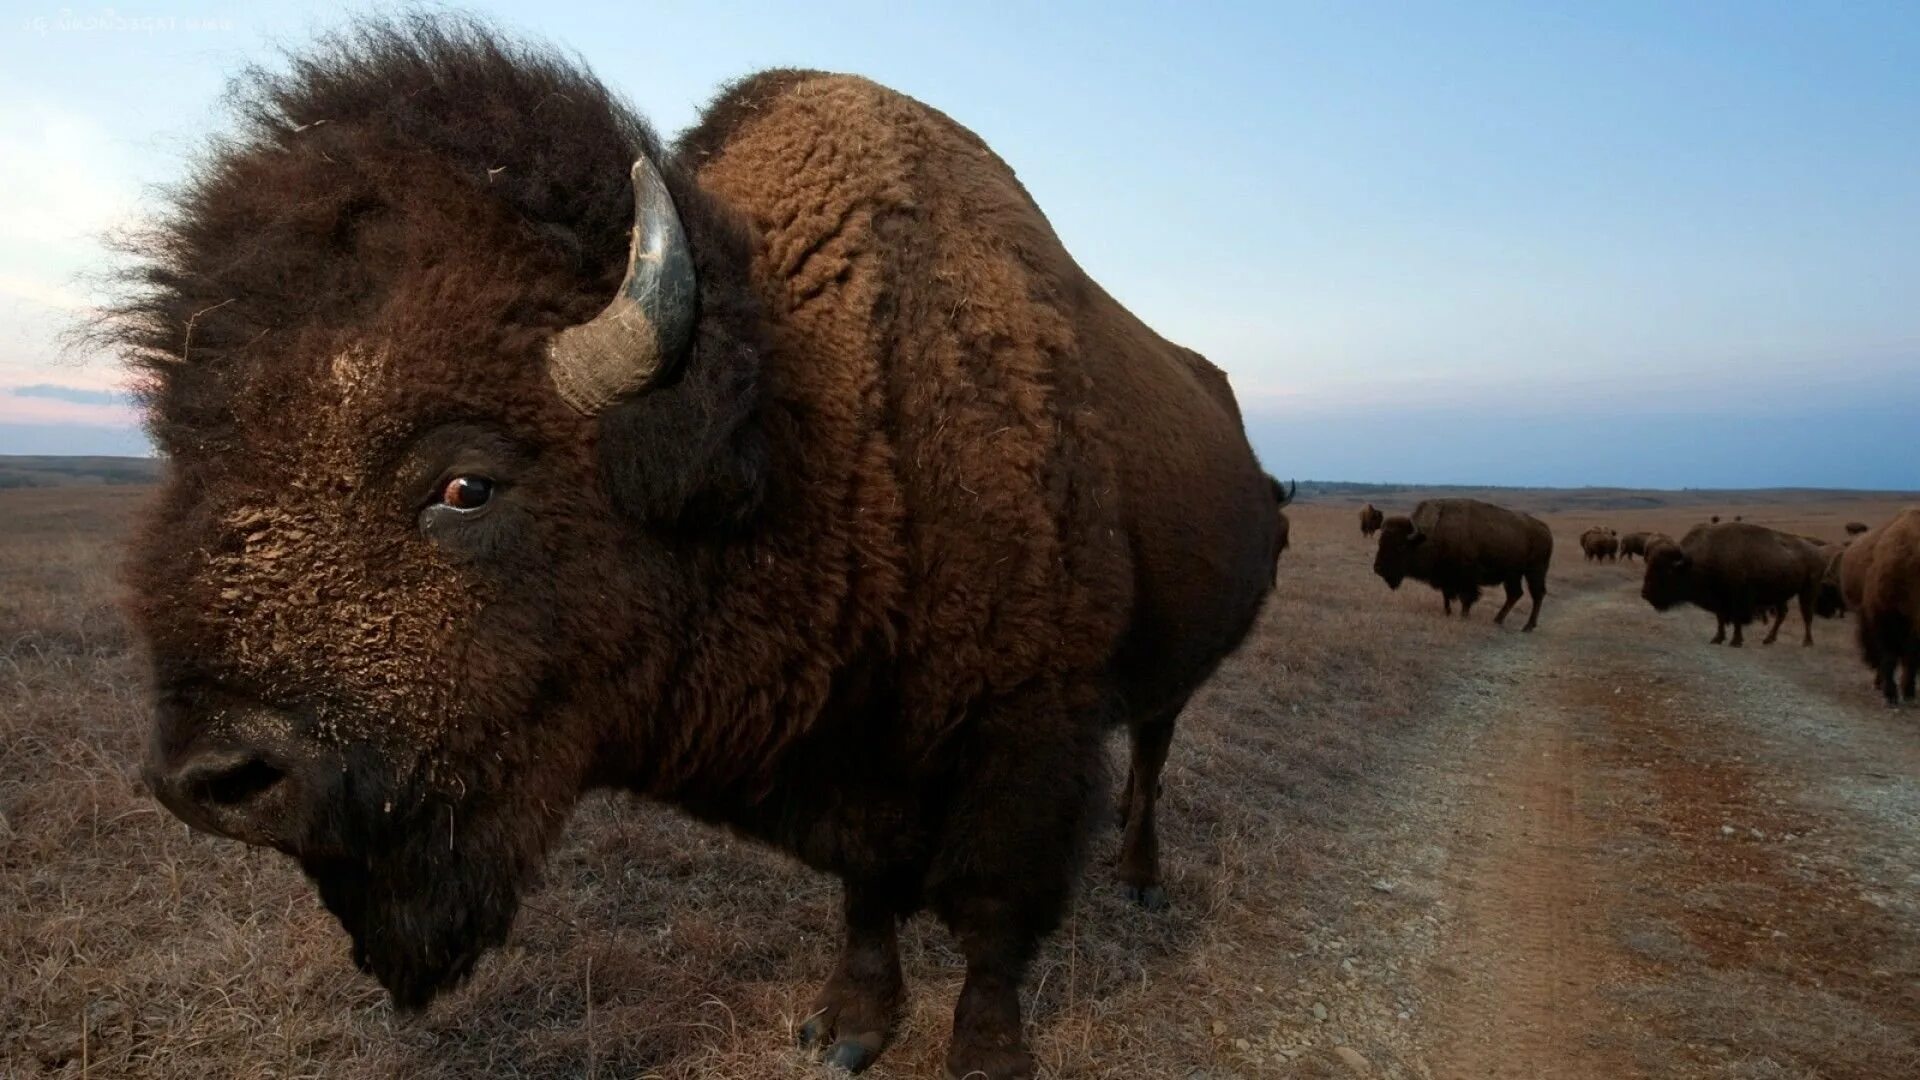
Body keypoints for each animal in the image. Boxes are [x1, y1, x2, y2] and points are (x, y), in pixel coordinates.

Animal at [111, 22, 1281, 1079]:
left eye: (465, 484)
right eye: (192, 457)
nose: (212, 779)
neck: (821, 423)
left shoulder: (1028, 735)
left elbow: (994, 915)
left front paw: (987, 1059)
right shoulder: (861, 757)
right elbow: (869, 890)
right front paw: (847, 1029)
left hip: (1172, 677)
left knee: (1155, 753)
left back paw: (1139, 875)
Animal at [1373, 498, 1552, 630]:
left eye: (1400, 546)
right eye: (1380, 542)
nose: (1378, 568)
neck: (1429, 535)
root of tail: (1544, 528)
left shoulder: (1467, 578)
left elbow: (1467, 597)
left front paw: (1463, 616)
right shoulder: (1445, 577)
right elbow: (1446, 596)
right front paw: (1448, 613)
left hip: (1534, 571)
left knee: (1537, 594)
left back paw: (1528, 626)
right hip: (1513, 575)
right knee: (1515, 594)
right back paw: (1497, 620)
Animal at [1640, 524, 1833, 646]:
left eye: (1666, 571)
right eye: (1648, 565)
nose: (1645, 594)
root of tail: (1818, 552)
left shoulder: (1738, 599)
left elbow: (1737, 619)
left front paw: (1735, 641)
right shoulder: (1719, 600)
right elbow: (1720, 618)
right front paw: (1717, 638)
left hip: (1808, 590)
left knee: (1807, 615)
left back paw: (1807, 642)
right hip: (1781, 595)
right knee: (1782, 614)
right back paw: (1768, 639)